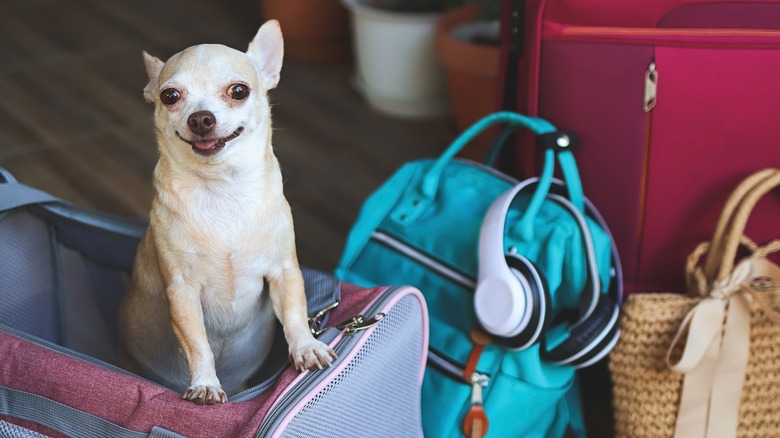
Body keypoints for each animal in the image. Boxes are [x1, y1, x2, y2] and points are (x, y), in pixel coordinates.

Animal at [119, 20, 336, 404]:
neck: (222, 189)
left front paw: (306, 347)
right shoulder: (182, 291)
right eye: (170, 96)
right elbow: (198, 342)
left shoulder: (283, 271)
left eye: (238, 91)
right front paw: (205, 383)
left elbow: (295, 312)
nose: (201, 118)